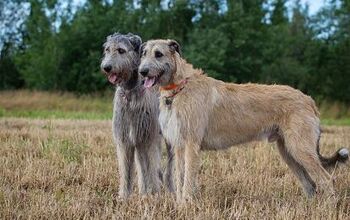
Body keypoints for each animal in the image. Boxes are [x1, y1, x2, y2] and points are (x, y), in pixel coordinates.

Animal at [100, 33, 174, 199]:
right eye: (107, 49)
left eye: (121, 50)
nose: (106, 67)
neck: (130, 93)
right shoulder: (125, 139)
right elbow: (126, 170)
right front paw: (123, 197)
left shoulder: (148, 139)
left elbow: (151, 168)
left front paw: (153, 195)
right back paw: (143, 191)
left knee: (168, 166)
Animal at [139, 39, 348, 201]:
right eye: (144, 53)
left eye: (158, 54)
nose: (142, 72)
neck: (179, 87)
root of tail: (309, 100)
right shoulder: (179, 146)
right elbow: (180, 178)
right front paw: (180, 203)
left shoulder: (191, 144)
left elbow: (188, 180)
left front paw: (186, 205)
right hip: (288, 151)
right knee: (310, 184)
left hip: (300, 148)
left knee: (326, 179)